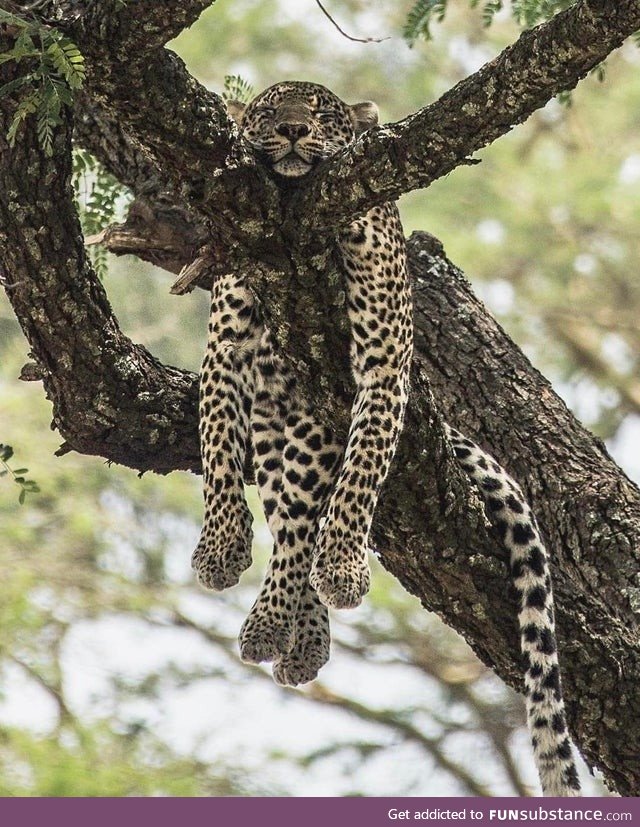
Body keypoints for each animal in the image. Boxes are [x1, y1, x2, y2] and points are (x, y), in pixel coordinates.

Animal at [189, 82, 580, 796]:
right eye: (268, 110)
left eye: (320, 112)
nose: (293, 130)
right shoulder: (226, 352)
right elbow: (218, 455)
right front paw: (221, 548)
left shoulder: (378, 367)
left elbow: (359, 475)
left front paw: (341, 568)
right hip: (278, 414)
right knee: (285, 512)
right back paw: (297, 633)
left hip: (313, 414)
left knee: (300, 520)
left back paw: (282, 623)